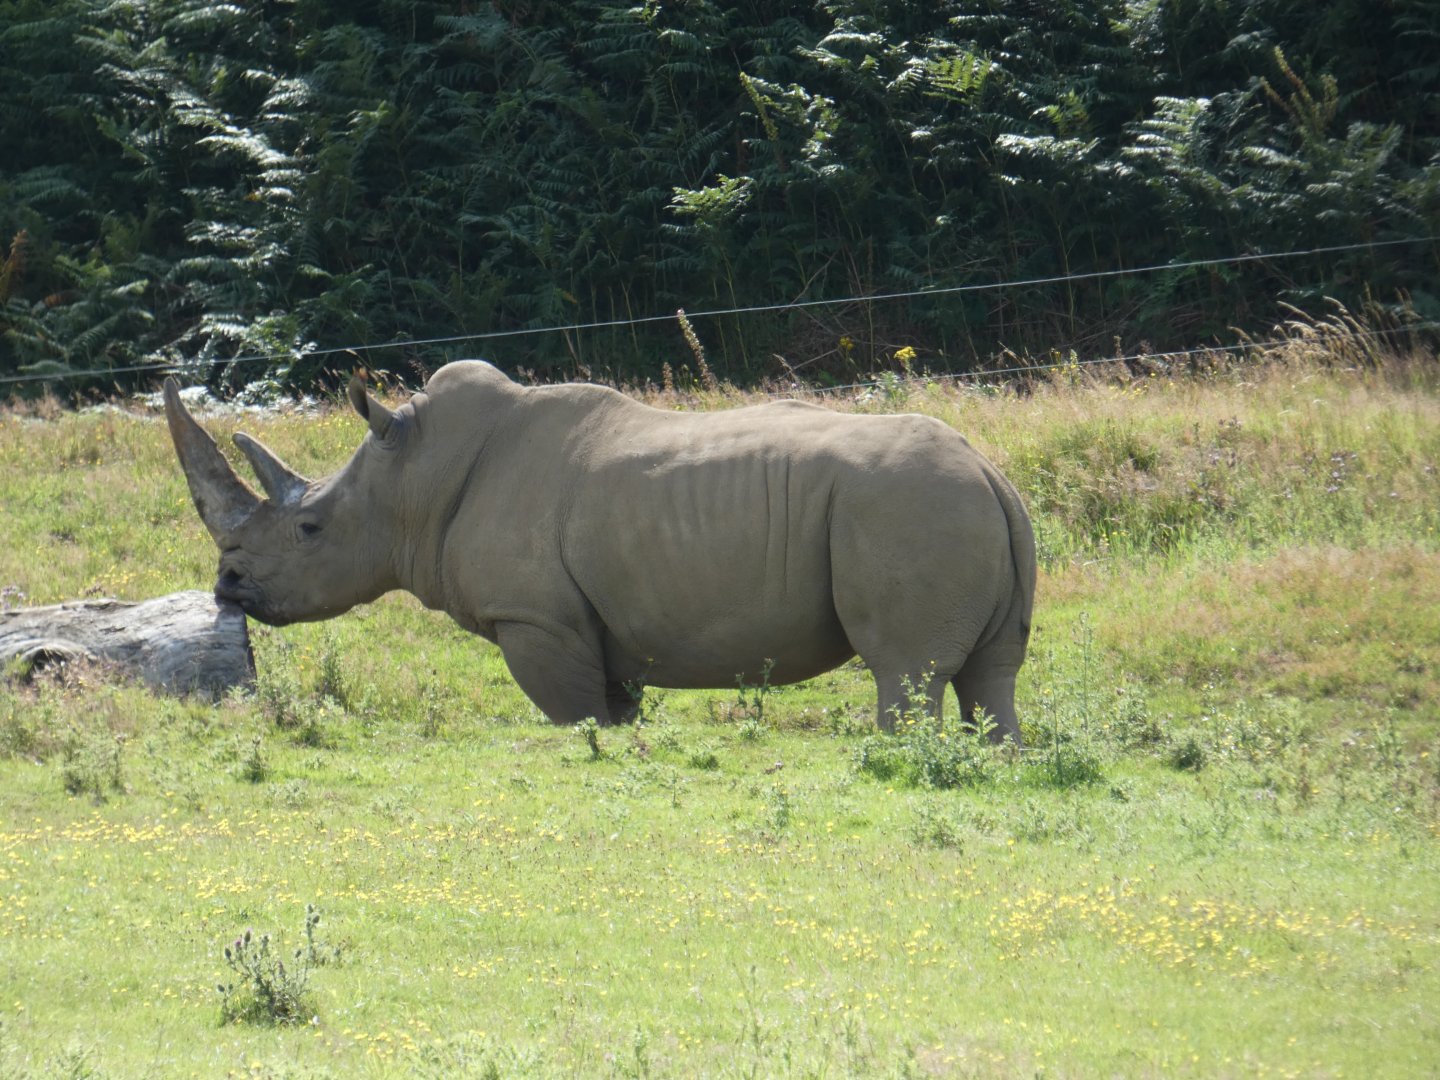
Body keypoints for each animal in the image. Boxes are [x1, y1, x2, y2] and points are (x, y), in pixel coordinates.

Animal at [164, 360, 1035, 741]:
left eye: (310, 530)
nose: (228, 584)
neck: (413, 479)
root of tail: (992, 470)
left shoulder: (535, 620)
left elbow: (575, 717)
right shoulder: (596, 624)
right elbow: (615, 712)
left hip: (904, 507)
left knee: (907, 669)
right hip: (962, 506)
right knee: (991, 673)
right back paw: (992, 757)